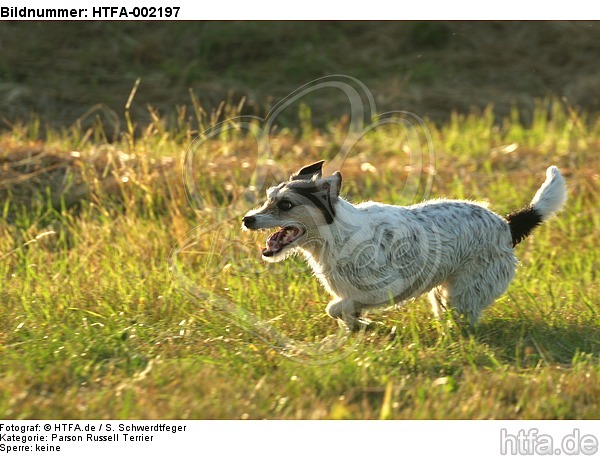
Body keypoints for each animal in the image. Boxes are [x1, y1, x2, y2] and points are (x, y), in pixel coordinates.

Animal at [243, 162, 568, 330]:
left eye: (286, 205)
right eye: (268, 198)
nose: (247, 219)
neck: (336, 235)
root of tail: (506, 225)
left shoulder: (384, 288)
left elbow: (335, 307)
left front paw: (358, 321)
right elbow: (343, 311)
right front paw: (357, 325)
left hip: (465, 292)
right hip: (442, 295)